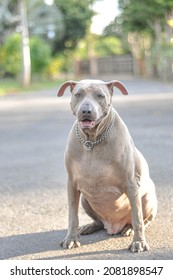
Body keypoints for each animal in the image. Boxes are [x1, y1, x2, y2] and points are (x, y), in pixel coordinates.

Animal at [57, 80, 157, 253]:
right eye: (78, 94)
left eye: (100, 95)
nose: (86, 110)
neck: (92, 140)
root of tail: (113, 226)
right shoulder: (72, 184)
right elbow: (72, 216)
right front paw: (71, 239)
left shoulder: (131, 184)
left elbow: (137, 218)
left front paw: (139, 242)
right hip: (85, 198)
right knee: (99, 221)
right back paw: (90, 227)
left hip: (147, 198)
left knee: (142, 220)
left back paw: (129, 229)